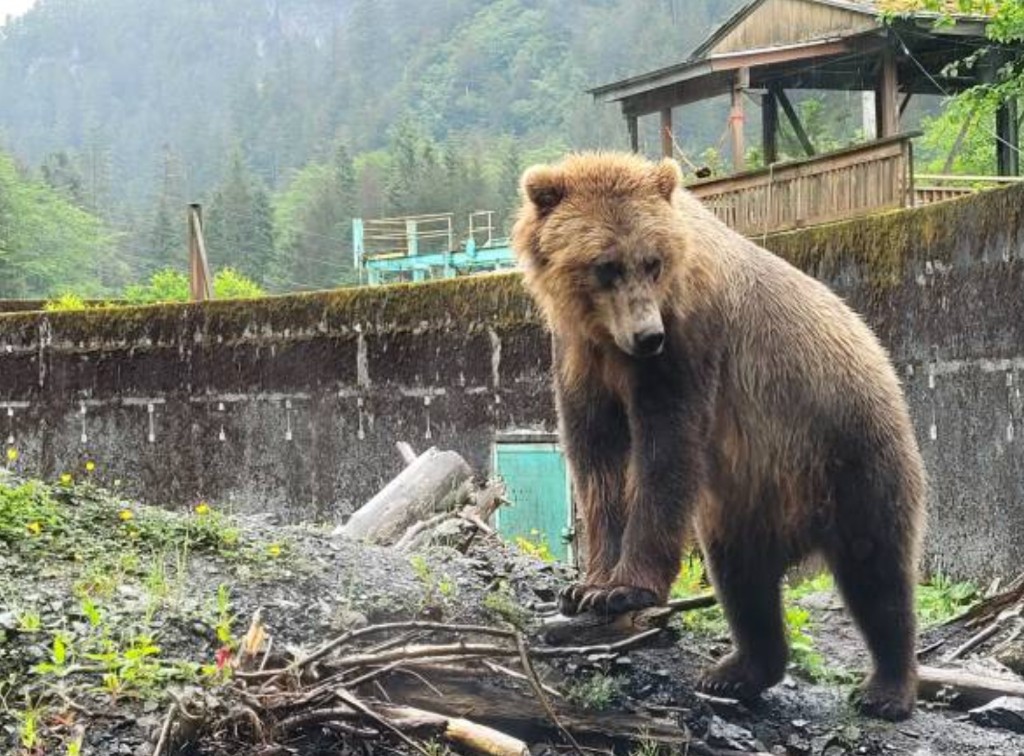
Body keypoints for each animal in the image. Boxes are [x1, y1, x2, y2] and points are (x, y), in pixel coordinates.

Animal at [509, 151, 927, 722]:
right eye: (605, 265)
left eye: (652, 261)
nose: (648, 335)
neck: (609, 339)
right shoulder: (580, 358)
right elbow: (597, 461)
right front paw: (587, 586)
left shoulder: (688, 346)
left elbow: (665, 451)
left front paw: (623, 589)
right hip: (749, 500)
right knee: (743, 581)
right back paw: (736, 671)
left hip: (849, 450)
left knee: (878, 571)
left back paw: (886, 689)